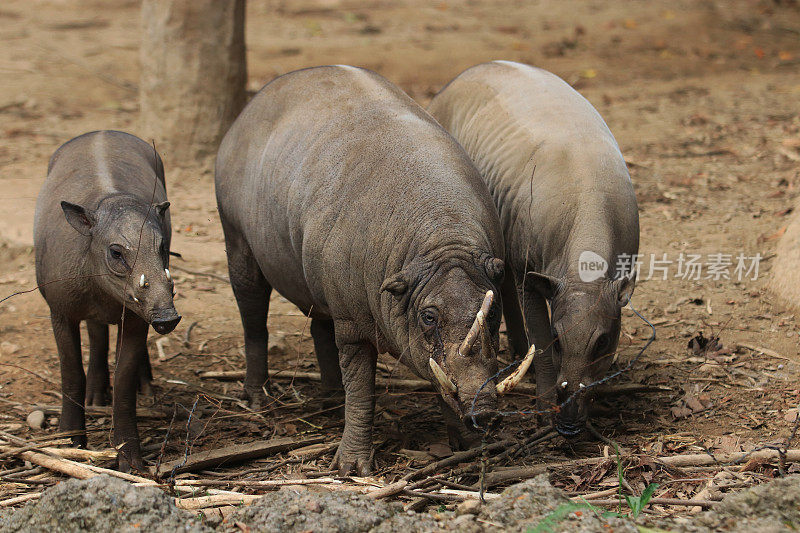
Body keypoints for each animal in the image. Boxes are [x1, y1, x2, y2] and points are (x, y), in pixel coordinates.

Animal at [34, 130, 180, 470]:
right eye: (116, 252)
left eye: (162, 247)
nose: (168, 318)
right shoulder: (60, 309)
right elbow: (71, 372)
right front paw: (71, 442)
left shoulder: (138, 317)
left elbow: (124, 381)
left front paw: (131, 461)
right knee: (97, 333)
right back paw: (95, 396)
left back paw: (146, 388)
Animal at [216, 66, 532, 474]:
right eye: (428, 316)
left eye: (492, 312)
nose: (487, 411)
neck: (443, 239)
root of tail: (246, 111)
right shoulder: (351, 321)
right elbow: (362, 389)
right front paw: (352, 467)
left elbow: (440, 380)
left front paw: (469, 446)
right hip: (237, 236)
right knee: (254, 316)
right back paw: (258, 398)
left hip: (318, 279)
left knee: (319, 325)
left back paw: (331, 400)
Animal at [428, 61, 640, 436]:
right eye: (558, 338)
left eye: (602, 342)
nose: (567, 426)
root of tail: (451, 83)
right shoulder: (532, 272)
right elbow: (538, 347)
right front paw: (542, 413)